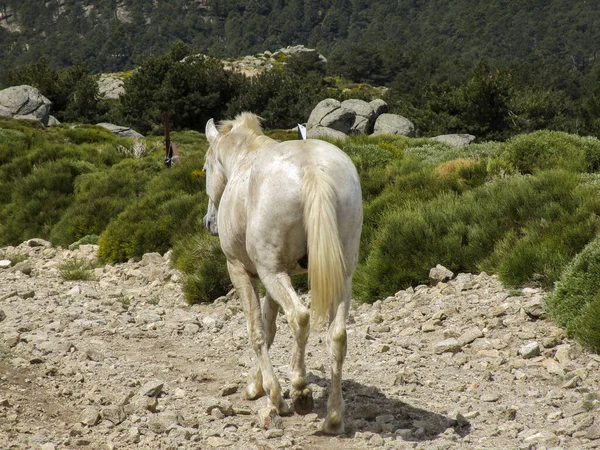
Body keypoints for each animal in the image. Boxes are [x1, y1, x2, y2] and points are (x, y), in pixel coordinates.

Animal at [203, 113, 360, 436]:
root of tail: (313, 168)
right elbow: (270, 326)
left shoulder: (244, 271)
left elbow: (257, 329)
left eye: (205, 167)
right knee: (337, 335)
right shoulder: (274, 276)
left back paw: (299, 390)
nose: (209, 222)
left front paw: (272, 393)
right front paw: (257, 384)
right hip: (339, 277)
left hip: (271, 272)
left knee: (299, 317)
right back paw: (333, 417)